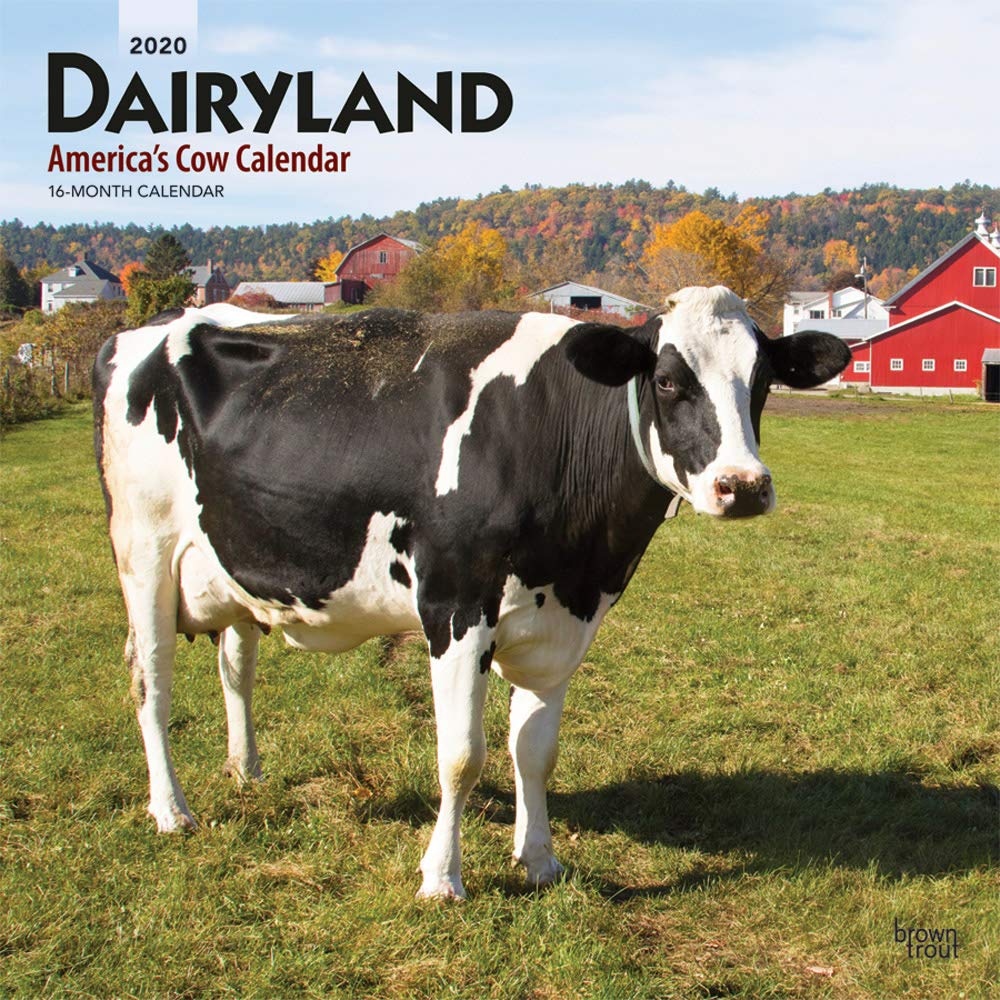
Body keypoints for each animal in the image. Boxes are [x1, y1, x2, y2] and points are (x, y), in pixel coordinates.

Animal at [93, 286, 850, 899]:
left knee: (235, 666)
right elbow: (461, 756)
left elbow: (535, 750)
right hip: (144, 552)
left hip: (233, 565)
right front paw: (441, 878)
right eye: (666, 380)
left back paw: (245, 770)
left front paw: (539, 861)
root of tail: (146, 326)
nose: (743, 486)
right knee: (149, 681)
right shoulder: (454, 608)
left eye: (762, 380)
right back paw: (171, 809)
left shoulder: (562, 625)